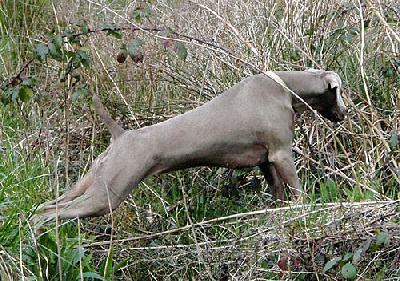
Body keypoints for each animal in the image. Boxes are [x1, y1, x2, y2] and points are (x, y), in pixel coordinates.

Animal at [34, 69, 346, 220]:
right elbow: (298, 194)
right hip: (107, 194)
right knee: (48, 215)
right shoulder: (281, 154)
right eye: (340, 92)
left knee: (44, 208)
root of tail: (120, 136)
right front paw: (306, 211)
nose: (346, 113)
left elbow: (278, 196)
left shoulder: (265, 162)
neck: (284, 87)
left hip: (90, 183)